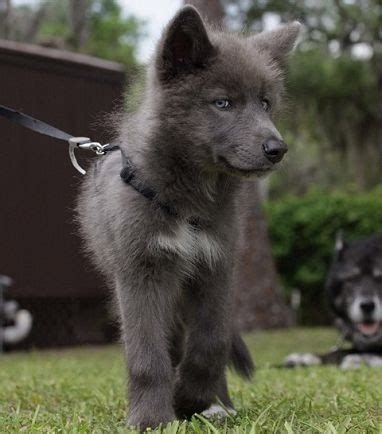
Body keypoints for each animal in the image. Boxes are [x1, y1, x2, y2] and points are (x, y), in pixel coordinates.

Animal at [77, 6, 302, 430]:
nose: (278, 149)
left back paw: (219, 406)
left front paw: (191, 398)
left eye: (265, 103)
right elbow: (148, 356)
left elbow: (210, 344)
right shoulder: (141, 273)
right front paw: (151, 418)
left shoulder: (216, 267)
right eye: (223, 103)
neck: (187, 204)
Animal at [284, 234, 382, 370]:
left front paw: (363, 360)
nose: (367, 306)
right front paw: (304, 358)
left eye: (381, 278)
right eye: (352, 279)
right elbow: (339, 351)